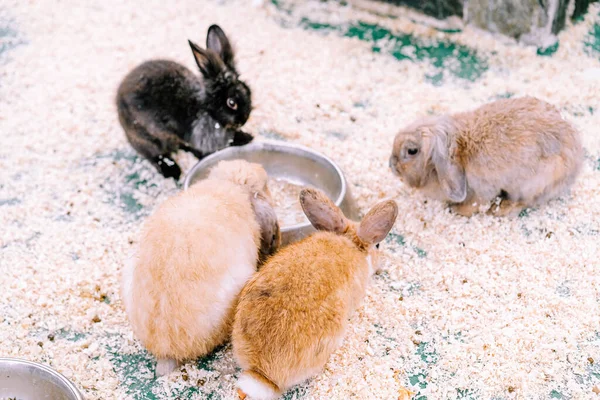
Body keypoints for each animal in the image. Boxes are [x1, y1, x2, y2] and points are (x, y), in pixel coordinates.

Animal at [116, 25, 253, 180]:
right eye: (231, 102)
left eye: (247, 90)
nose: (244, 119)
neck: (209, 111)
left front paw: (246, 137)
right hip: (147, 138)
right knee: (154, 154)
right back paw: (173, 171)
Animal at [390, 96, 580, 216]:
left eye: (411, 151)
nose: (391, 165)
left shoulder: (483, 189)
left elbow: (477, 203)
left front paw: (458, 210)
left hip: (532, 184)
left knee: (525, 201)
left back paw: (501, 209)